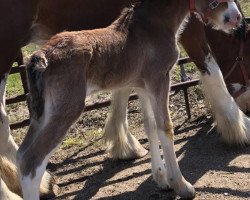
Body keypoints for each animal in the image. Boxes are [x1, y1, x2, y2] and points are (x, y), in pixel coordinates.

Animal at [17, 0, 240, 199]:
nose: (235, 17)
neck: (154, 25)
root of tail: (41, 56)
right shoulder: (160, 79)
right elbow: (165, 128)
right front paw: (181, 185)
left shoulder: (143, 86)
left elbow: (150, 126)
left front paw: (162, 180)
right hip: (66, 110)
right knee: (31, 162)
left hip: (42, 114)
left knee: (21, 155)